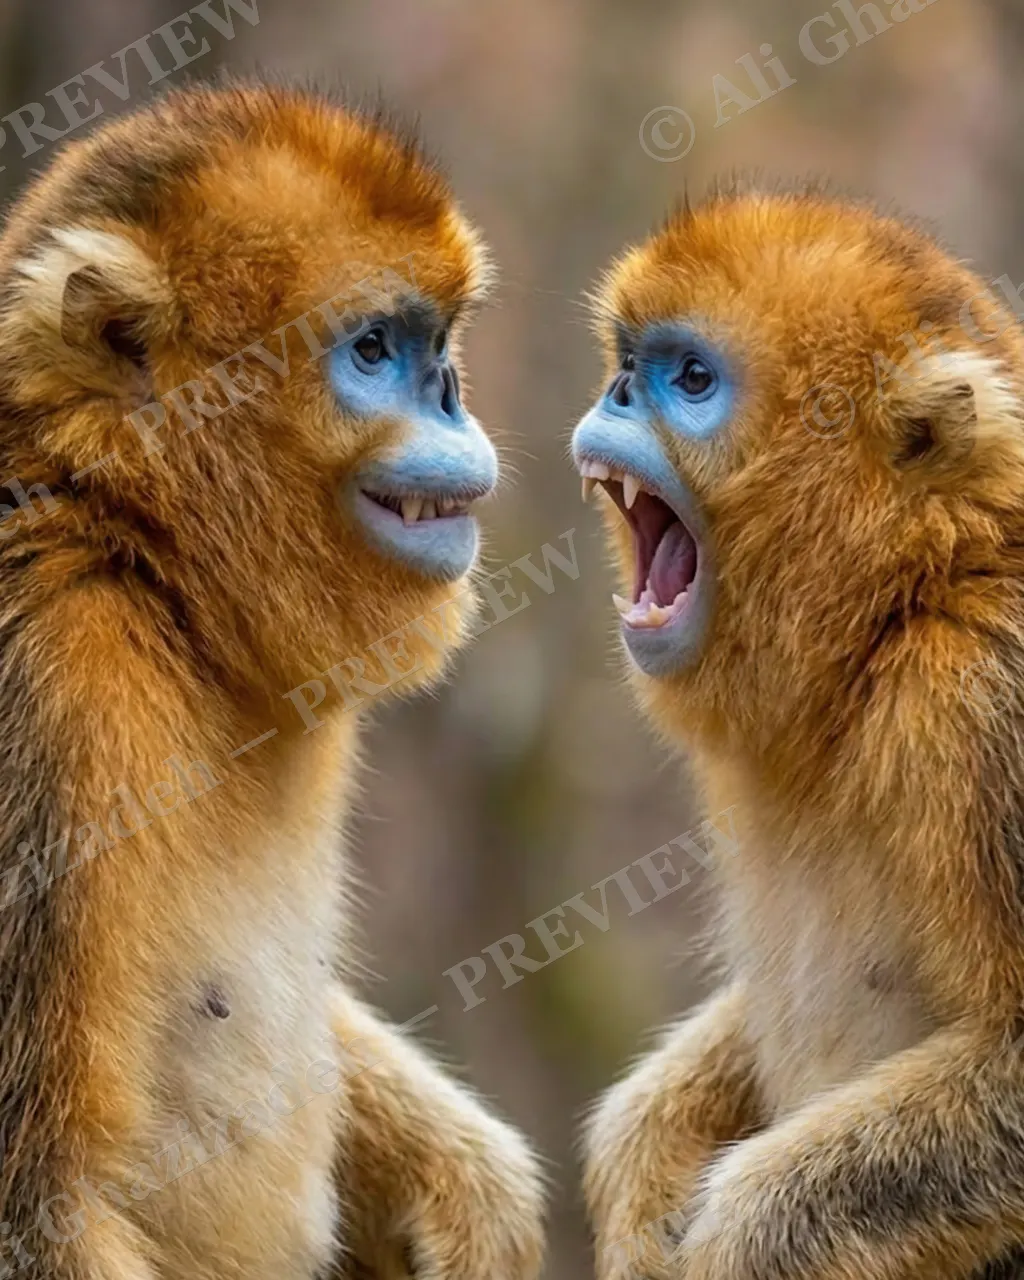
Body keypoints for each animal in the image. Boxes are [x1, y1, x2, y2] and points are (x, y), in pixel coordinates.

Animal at [0, 81, 545, 1280]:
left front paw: (476, 1193)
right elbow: (40, 1197)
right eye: (375, 349)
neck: (135, 557)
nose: (450, 393)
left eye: (439, 344)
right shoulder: (47, 680)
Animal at [573, 183, 1024, 1280]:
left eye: (690, 379)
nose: (617, 394)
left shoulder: (981, 690)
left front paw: (738, 1241)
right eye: (628, 361)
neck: (908, 605)